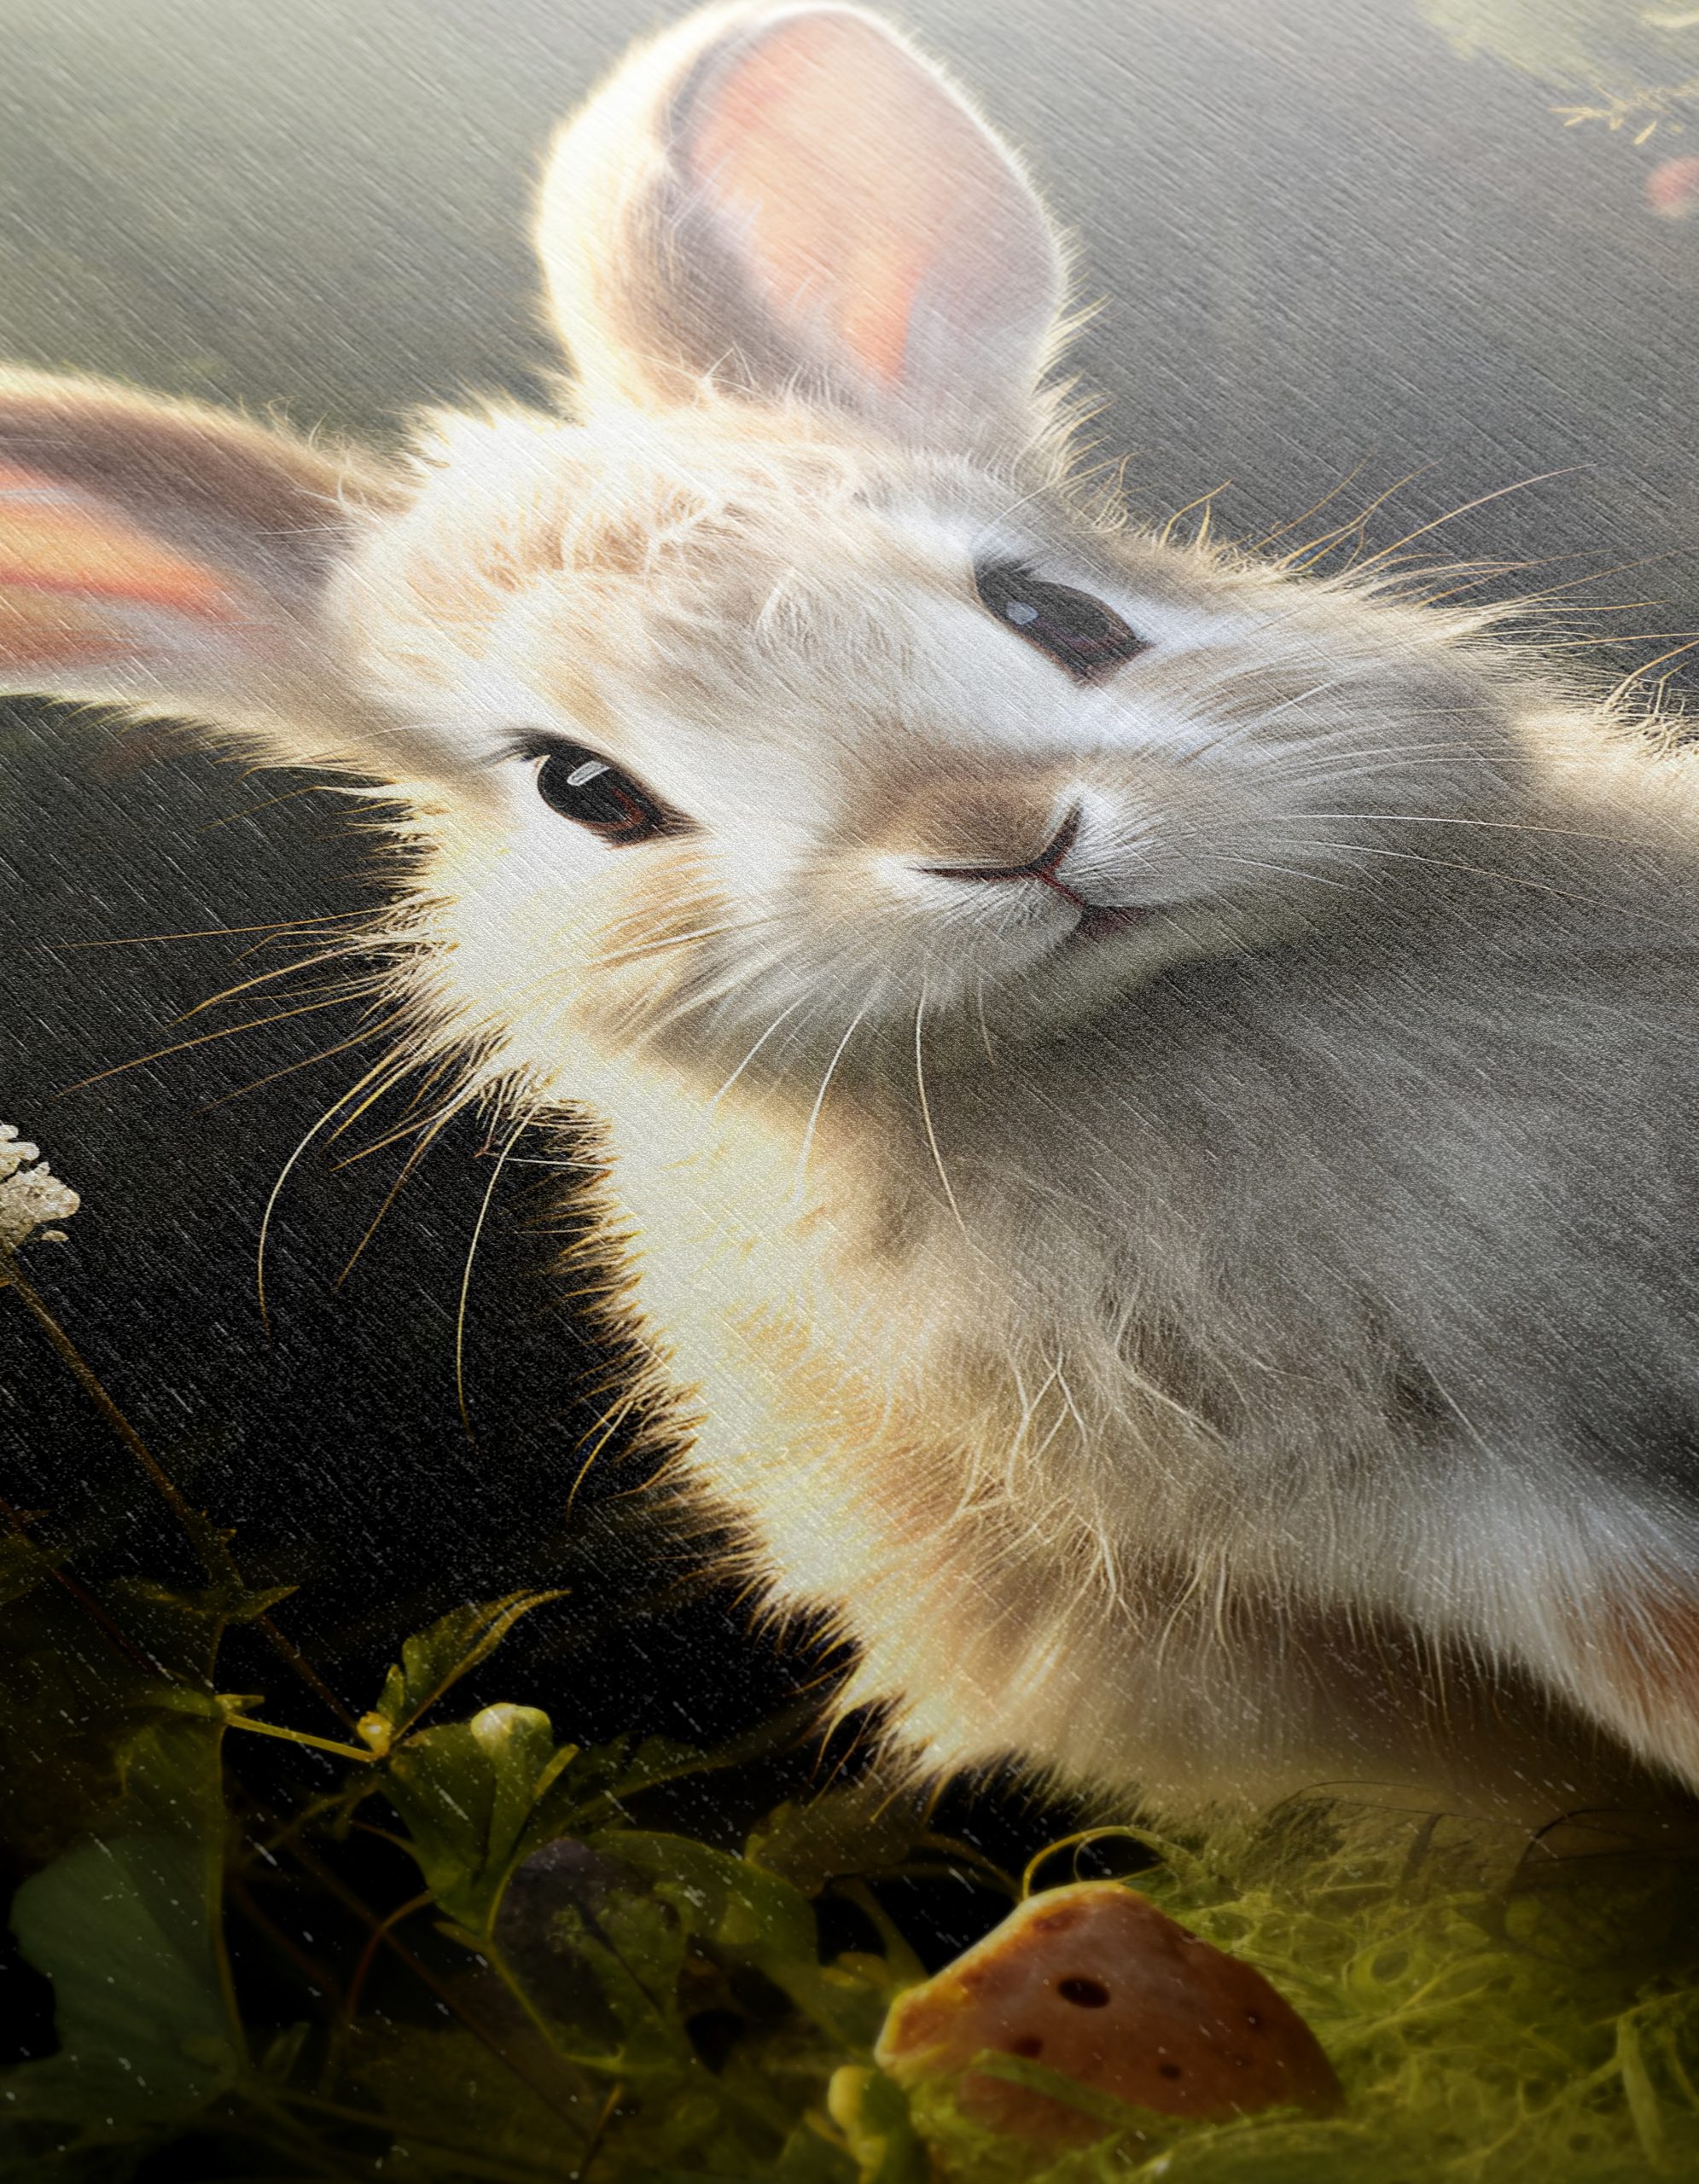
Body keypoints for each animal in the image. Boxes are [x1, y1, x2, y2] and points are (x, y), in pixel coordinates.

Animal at [6, 0, 1699, 1826]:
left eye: (1052, 610)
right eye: (582, 789)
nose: (1008, 836)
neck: (1156, 1018)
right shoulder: (1369, 1495)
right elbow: (1618, 1615)